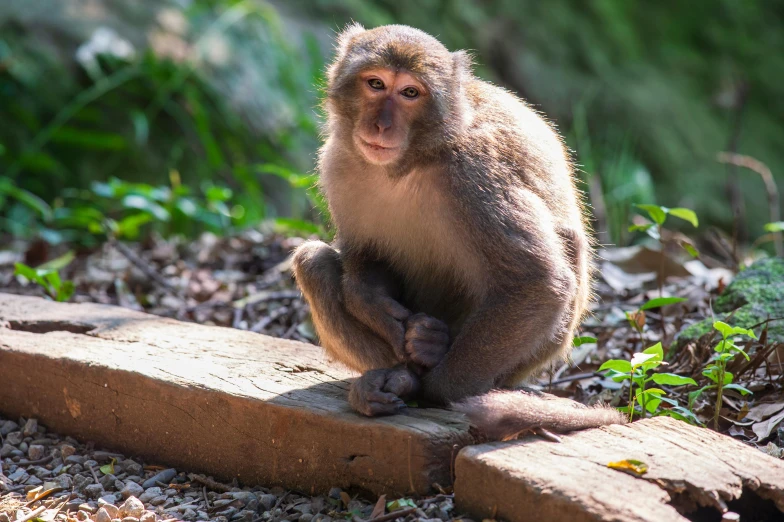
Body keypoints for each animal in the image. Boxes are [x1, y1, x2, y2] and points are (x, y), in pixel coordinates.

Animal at [290, 24, 628, 438]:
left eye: (410, 93)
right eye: (375, 83)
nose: (381, 125)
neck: (410, 162)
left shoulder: (474, 173)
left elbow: (538, 281)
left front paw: (437, 389)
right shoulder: (337, 162)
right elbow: (361, 252)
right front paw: (370, 303)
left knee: (567, 244)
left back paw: (422, 366)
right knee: (312, 262)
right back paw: (396, 372)